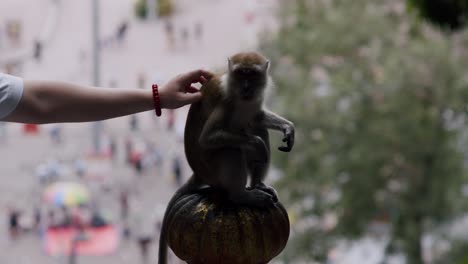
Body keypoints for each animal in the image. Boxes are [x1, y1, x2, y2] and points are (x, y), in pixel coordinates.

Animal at [159, 52, 294, 264]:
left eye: (251, 74)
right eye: (240, 73)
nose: (246, 87)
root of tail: (198, 173)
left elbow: (257, 117)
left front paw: (288, 127)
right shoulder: (226, 103)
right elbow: (208, 138)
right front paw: (257, 144)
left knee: (257, 128)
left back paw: (257, 184)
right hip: (211, 170)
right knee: (231, 150)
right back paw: (240, 195)